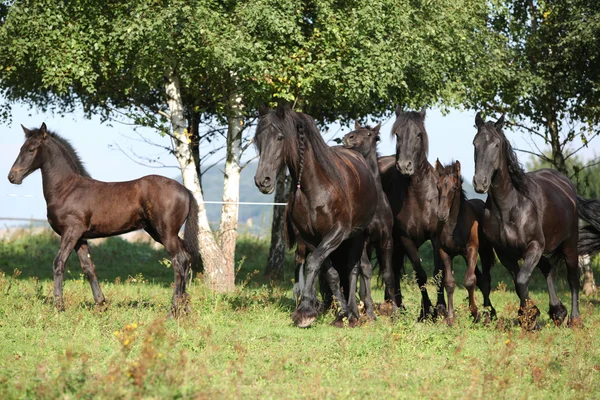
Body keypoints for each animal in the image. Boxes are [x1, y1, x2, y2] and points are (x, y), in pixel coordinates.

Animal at [7, 123, 199, 314]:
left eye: (31, 149)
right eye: (21, 148)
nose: (12, 177)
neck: (67, 189)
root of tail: (186, 191)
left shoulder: (70, 232)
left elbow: (59, 263)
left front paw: (58, 306)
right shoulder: (80, 237)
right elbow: (89, 267)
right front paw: (101, 304)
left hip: (166, 232)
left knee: (178, 260)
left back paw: (174, 309)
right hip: (158, 232)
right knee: (186, 258)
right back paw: (186, 307)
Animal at [252, 104, 376, 326]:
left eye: (280, 137)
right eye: (259, 139)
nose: (262, 180)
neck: (315, 188)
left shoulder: (337, 233)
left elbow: (313, 264)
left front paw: (306, 310)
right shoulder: (310, 238)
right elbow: (328, 272)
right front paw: (337, 311)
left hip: (358, 235)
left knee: (356, 268)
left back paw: (359, 312)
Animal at [474, 111, 600, 328]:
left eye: (496, 144)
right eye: (475, 143)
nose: (480, 183)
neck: (509, 206)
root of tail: (567, 186)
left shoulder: (534, 246)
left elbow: (522, 280)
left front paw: (532, 318)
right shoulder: (505, 253)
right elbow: (518, 282)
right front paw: (529, 317)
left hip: (569, 244)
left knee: (573, 278)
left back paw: (574, 319)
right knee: (548, 269)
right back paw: (558, 311)